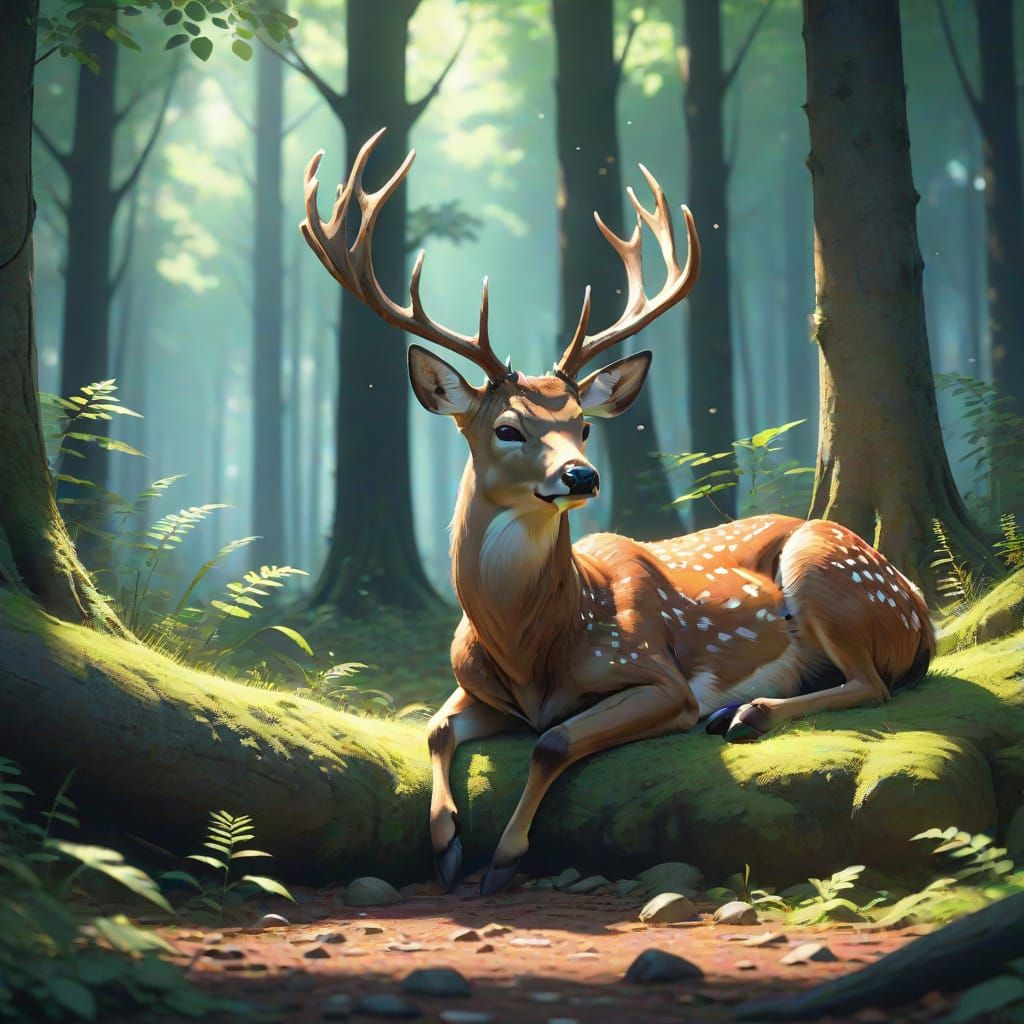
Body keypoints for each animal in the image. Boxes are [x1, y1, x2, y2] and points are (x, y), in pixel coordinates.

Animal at [300, 128, 936, 897]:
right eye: (507, 427)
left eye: (583, 424)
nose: (582, 474)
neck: (530, 649)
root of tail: (920, 609)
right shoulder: (471, 685)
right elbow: (435, 726)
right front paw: (446, 844)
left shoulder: (659, 677)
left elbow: (553, 739)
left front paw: (503, 858)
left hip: (826, 572)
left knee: (873, 685)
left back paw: (744, 713)